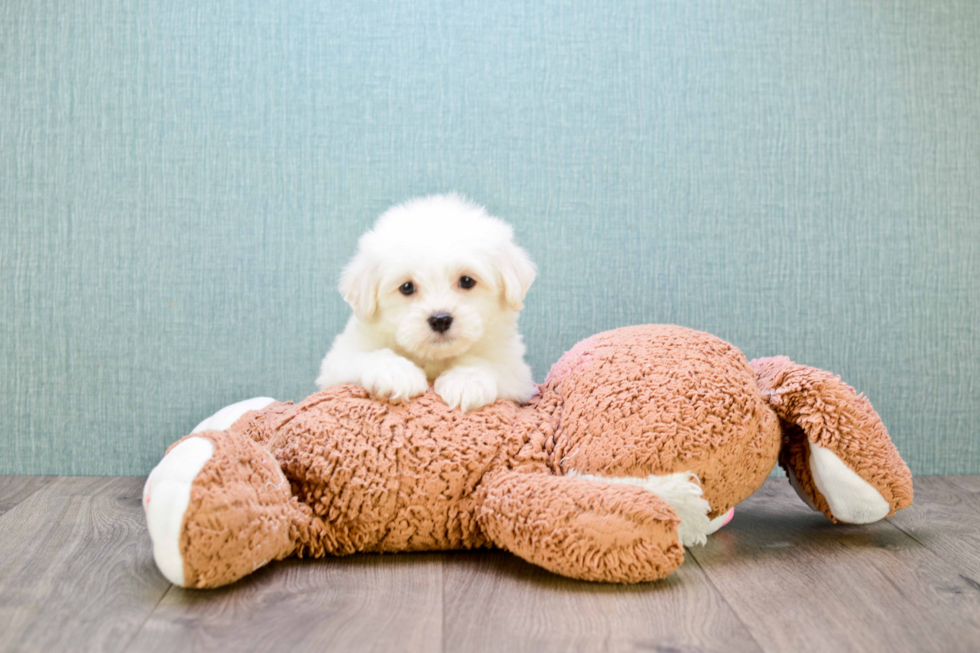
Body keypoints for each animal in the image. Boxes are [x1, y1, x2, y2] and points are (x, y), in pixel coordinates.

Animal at [314, 191, 540, 410]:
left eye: (467, 281)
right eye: (407, 287)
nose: (440, 320)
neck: (433, 357)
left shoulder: (516, 370)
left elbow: (486, 364)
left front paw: (466, 381)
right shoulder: (339, 361)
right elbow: (369, 355)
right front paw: (395, 373)